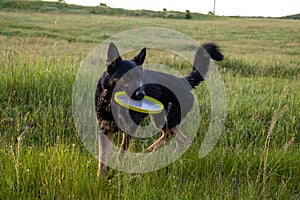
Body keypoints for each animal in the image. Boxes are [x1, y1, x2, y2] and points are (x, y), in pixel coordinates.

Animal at [95, 42, 224, 177]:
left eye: (140, 77)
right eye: (126, 77)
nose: (142, 94)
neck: (110, 102)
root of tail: (183, 81)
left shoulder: (129, 130)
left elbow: (120, 154)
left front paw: (118, 169)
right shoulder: (105, 131)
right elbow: (102, 158)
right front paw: (101, 178)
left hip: (165, 119)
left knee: (170, 134)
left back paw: (151, 149)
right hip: (161, 121)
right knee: (180, 138)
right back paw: (172, 156)